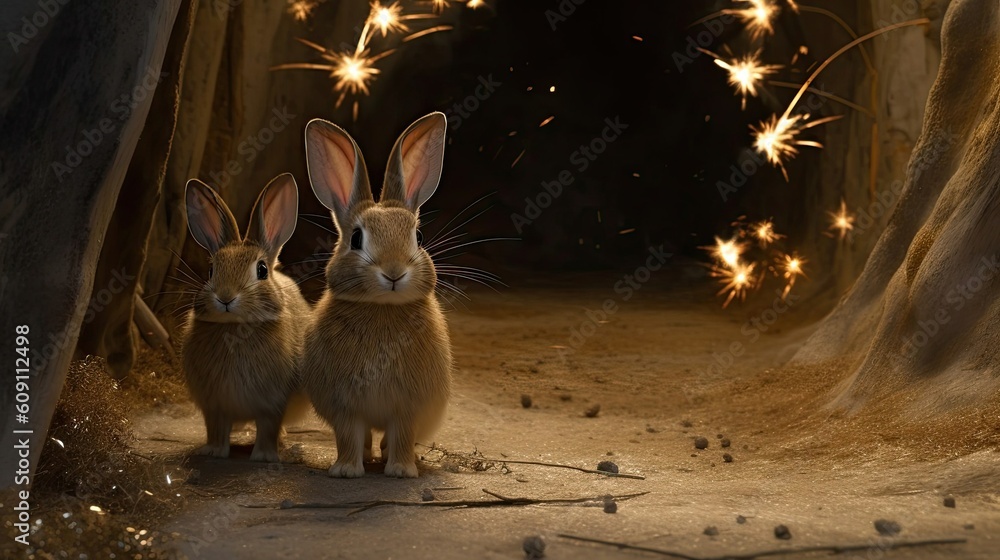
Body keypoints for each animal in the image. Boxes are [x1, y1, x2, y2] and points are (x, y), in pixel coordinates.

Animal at [181, 173, 312, 463]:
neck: (236, 327)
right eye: (211, 270)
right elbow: (216, 428)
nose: (226, 297)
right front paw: (213, 452)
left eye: (261, 270)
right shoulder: (214, 405)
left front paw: (264, 456)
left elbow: (268, 427)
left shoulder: (272, 404)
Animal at [301, 112, 452, 478]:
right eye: (356, 238)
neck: (382, 307)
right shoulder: (345, 407)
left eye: (418, 237)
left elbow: (402, 435)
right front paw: (345, 471)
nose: (394, 272)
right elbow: (348, 436)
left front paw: (401, 471)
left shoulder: (407, 408)